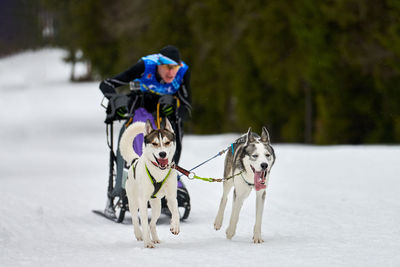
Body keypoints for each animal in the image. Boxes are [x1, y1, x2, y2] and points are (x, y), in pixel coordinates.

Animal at [119, 119, 180, 249]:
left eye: (167, 142)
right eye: (154, 143)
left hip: (157, 206)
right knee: (136, 220)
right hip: (133, 202)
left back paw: (155, 239)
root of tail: (135, 160)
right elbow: (144, 223)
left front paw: (175, 226)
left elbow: (176, 212)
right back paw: (139, 234)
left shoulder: (172, 197)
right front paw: (147, 243)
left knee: (152, 223)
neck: (159, 172)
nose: (162, 154)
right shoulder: (142, 201)